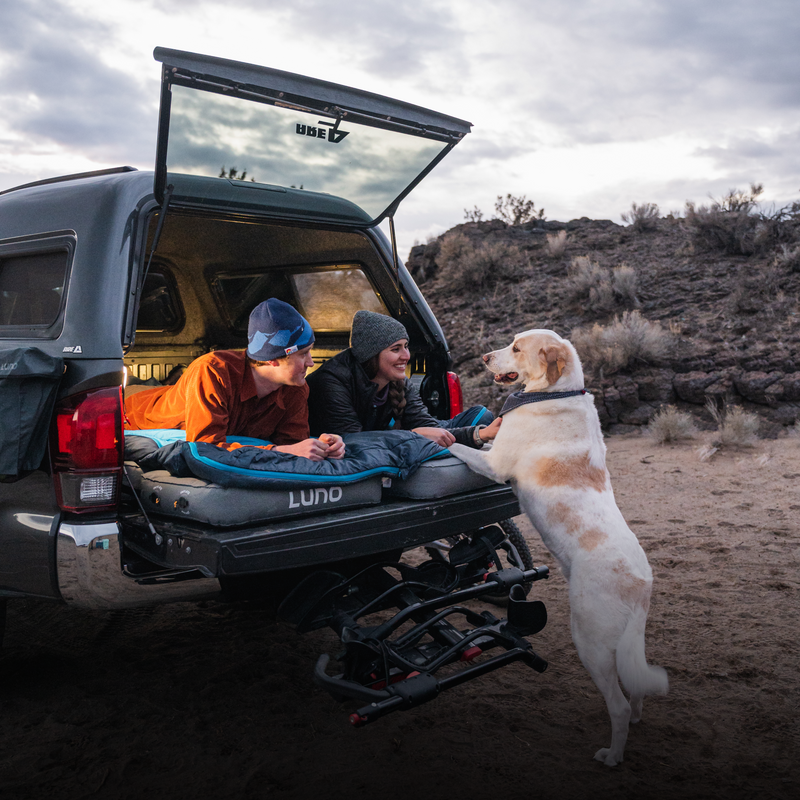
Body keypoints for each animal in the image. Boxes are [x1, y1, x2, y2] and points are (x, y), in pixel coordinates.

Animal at [450, 328, 668, 764]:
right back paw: (636, 721)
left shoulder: (494, 464)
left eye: (517, 348)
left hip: (590, 642)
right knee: (635, 688)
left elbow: (455, 446)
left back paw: (612, 755)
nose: (483, 358)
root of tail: (642, 585)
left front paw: (425, 438)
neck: (552, 393)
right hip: (626, 644)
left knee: (618, 704)